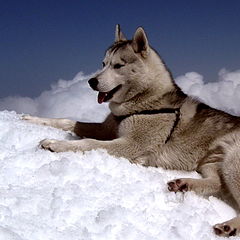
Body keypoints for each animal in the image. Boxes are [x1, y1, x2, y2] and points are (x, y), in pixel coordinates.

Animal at [23, 25, 240, 236]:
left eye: (118, 65)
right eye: (103, 63)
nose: (91, 81)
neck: (145, 101)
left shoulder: (132, 145)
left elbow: (88, 143)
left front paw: (56, 143)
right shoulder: (107, 129)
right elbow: (67, 122)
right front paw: (33, 119)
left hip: (231, 164)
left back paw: (229, 226)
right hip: (211, 163)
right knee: (215, 182)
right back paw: (184, 184)